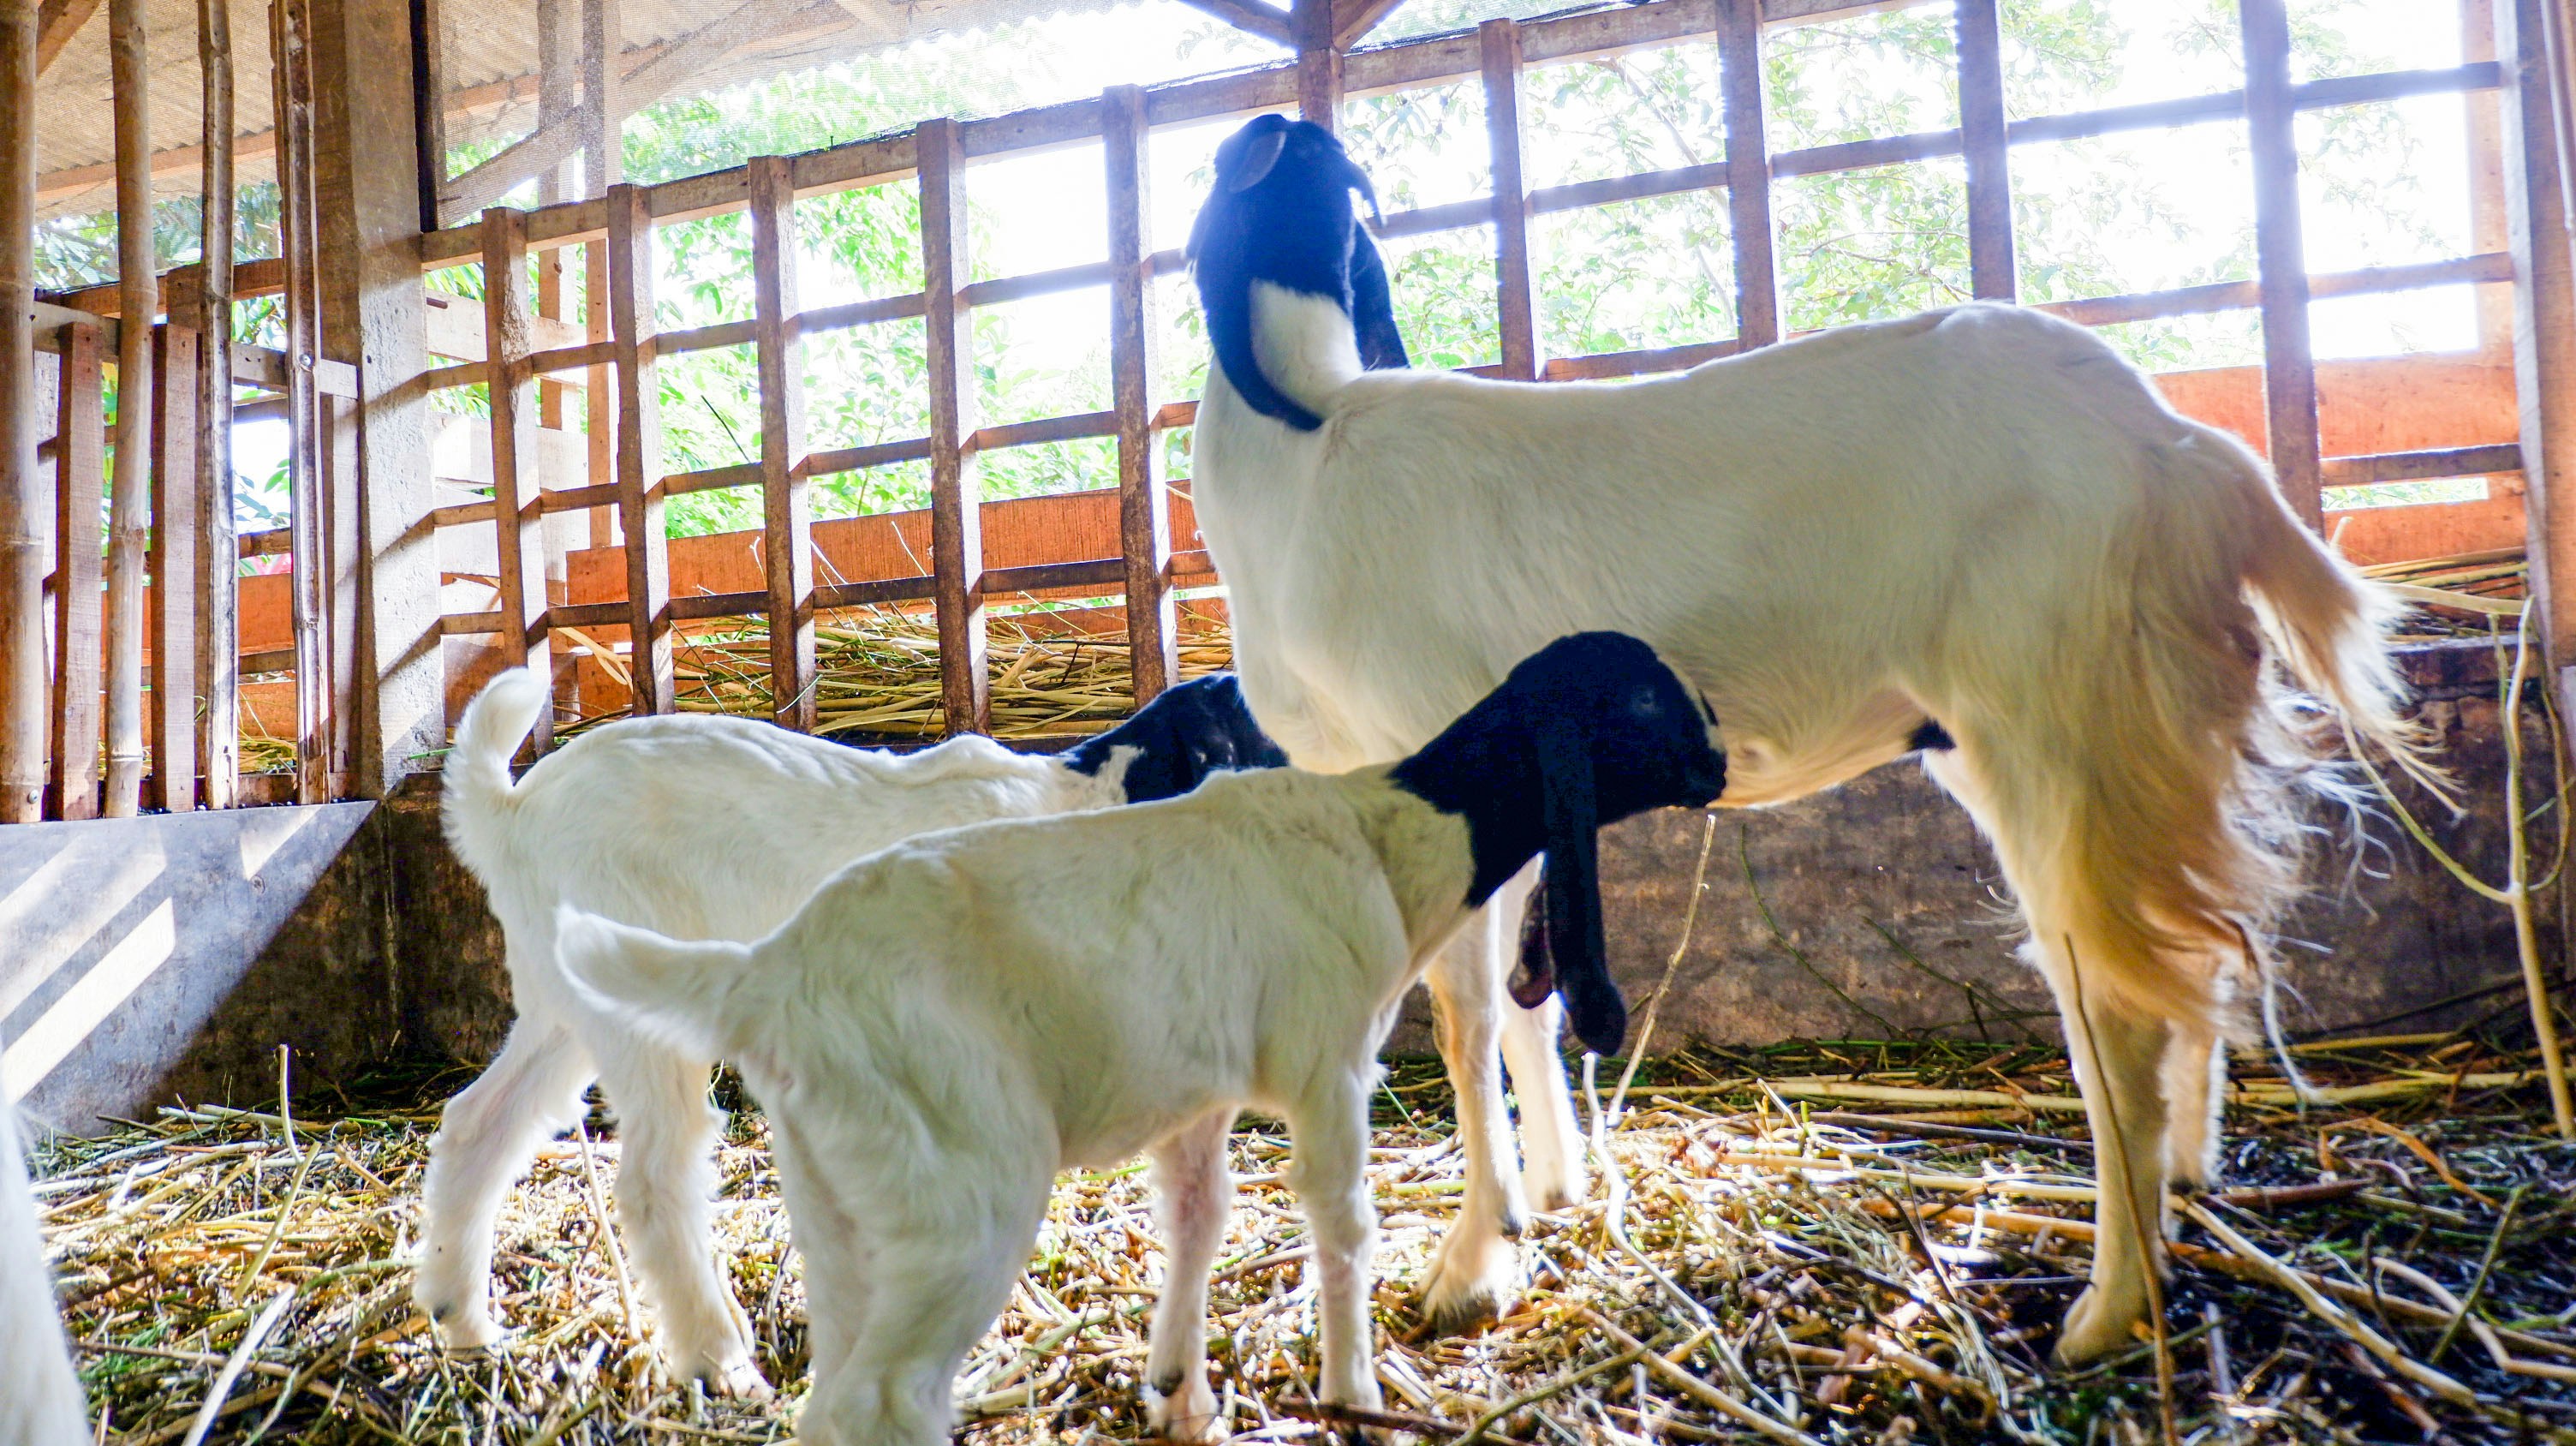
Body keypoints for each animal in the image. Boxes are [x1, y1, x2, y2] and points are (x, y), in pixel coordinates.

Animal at [415, 670, 1287, 1392]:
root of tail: (510, 816)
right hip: (634, 1004)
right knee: (657, 1175)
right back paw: (720, 1362)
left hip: (565, 1003)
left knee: (480, 1125)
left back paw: (465, 1324)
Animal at [554, 632, 1727, 1446]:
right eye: (1637, 692)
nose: (1721, 756)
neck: (1388, 830)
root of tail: (770, 975)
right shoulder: (1324, 1057)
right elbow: (1342, 1220)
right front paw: (1352, 1389)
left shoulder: (1195, 1095)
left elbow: (1198, 1220)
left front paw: (1178, 1389)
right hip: (960, 1183)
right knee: (877, 1394)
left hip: (841, 1194)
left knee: (839, 1380)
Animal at [1184, 113, 2425, 1361]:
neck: (1308, 463)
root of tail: (2183, 453)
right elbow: (1519, 1014)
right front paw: (1549, 1201)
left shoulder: (1440, 761)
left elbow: (1465, 1017)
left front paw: (1470, 1266)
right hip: (2135, 740)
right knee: (2187, 966)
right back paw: (2187, 1189)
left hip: (2057, 726)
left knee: (2114, 1012)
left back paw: (2107, 1306)